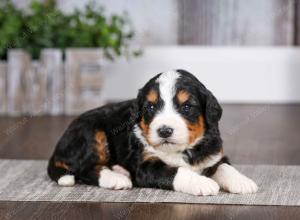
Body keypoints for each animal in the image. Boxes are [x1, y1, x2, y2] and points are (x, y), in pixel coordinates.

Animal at [47, 69, 258, 195]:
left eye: (187, 107)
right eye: (150, 107)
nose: (164, 131)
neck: (181, 150)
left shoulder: (213, 152)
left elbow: (224, 167)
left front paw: (243, 182)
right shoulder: (145, 165)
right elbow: (176, 171)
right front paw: (202, 183)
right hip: (92, 132)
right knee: (85, 169)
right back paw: (116, 178)